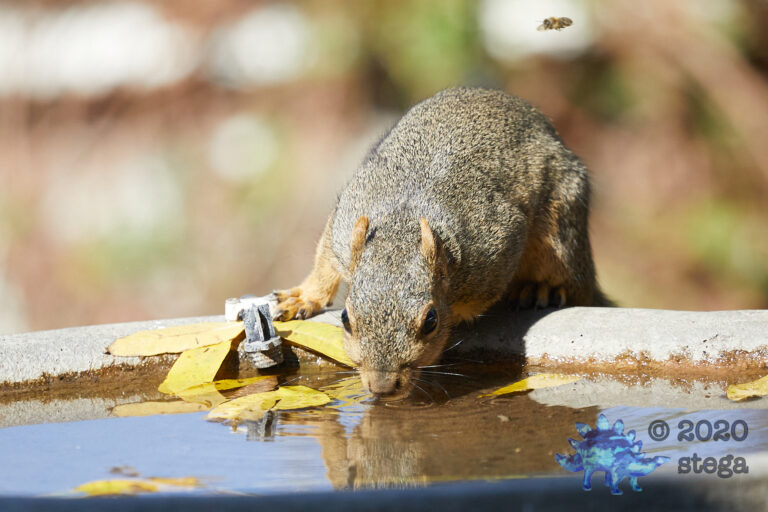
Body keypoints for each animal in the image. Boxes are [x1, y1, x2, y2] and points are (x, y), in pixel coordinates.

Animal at [274, 87, 612, 399]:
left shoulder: (496, 248)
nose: (382, 387)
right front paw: (303, 298)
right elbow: (324, 265)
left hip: (561, 228)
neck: (403, 222)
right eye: (345, 319)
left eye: (431, 321)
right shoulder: (343, 226)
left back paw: (543, 287)